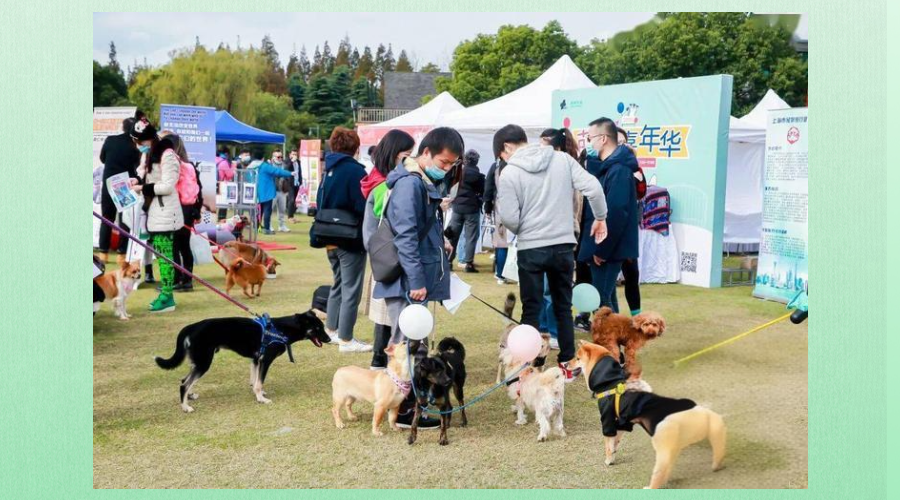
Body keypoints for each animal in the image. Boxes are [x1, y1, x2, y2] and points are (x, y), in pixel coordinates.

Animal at [155, 310, 330, 412]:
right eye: (318, 328)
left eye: (322, 327)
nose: (329, 339)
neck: (281, 329)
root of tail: (191, 327)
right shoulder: (265, 360)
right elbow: (259, 382)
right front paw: (261, 399)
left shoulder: (256, 359)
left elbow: (255, 381)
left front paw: (259, 393)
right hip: (204, 362)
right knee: (184, 384)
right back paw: (185, 406)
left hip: (198, 361)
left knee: (185, 380)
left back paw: (190, 396)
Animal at [568, 340, 724, 488]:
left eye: (577, 358)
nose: (565, 364)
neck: (610, 382)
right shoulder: (622, 423)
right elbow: (615, 443)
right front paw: (613, 455)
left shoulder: (608, 421)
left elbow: (608, 445)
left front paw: (608, 460)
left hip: (662, 447)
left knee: (660, 472)